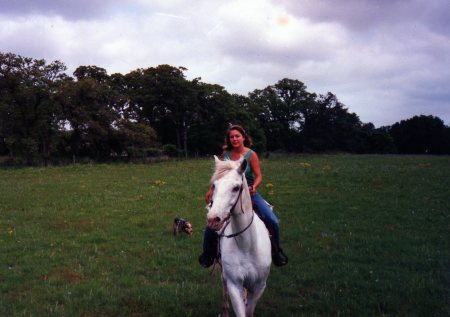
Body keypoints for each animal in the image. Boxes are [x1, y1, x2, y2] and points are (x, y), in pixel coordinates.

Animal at [207, 154, 270, 314]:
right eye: (214, 186)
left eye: (236, 188)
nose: (213, 219)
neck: (246, 246)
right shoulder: (234, 285)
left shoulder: (259, 286)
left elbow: (249, 310)